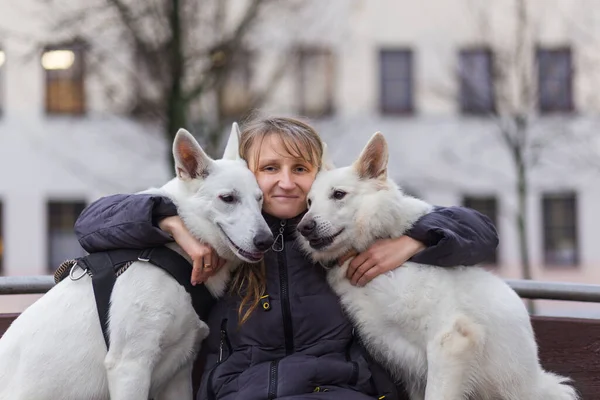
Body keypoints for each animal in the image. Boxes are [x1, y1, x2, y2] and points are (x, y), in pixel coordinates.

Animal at [0, 123, 274, 398]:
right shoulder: (130, 366)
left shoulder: (180, 370)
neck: (177, 254)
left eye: (259, 198)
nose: (266, 240)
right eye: (228, 198)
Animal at [298, 133, 580, 398]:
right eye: (309, 202)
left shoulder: (448, 341)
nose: (303, 227)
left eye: (338, 194)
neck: (370, 244)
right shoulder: (410, 369)